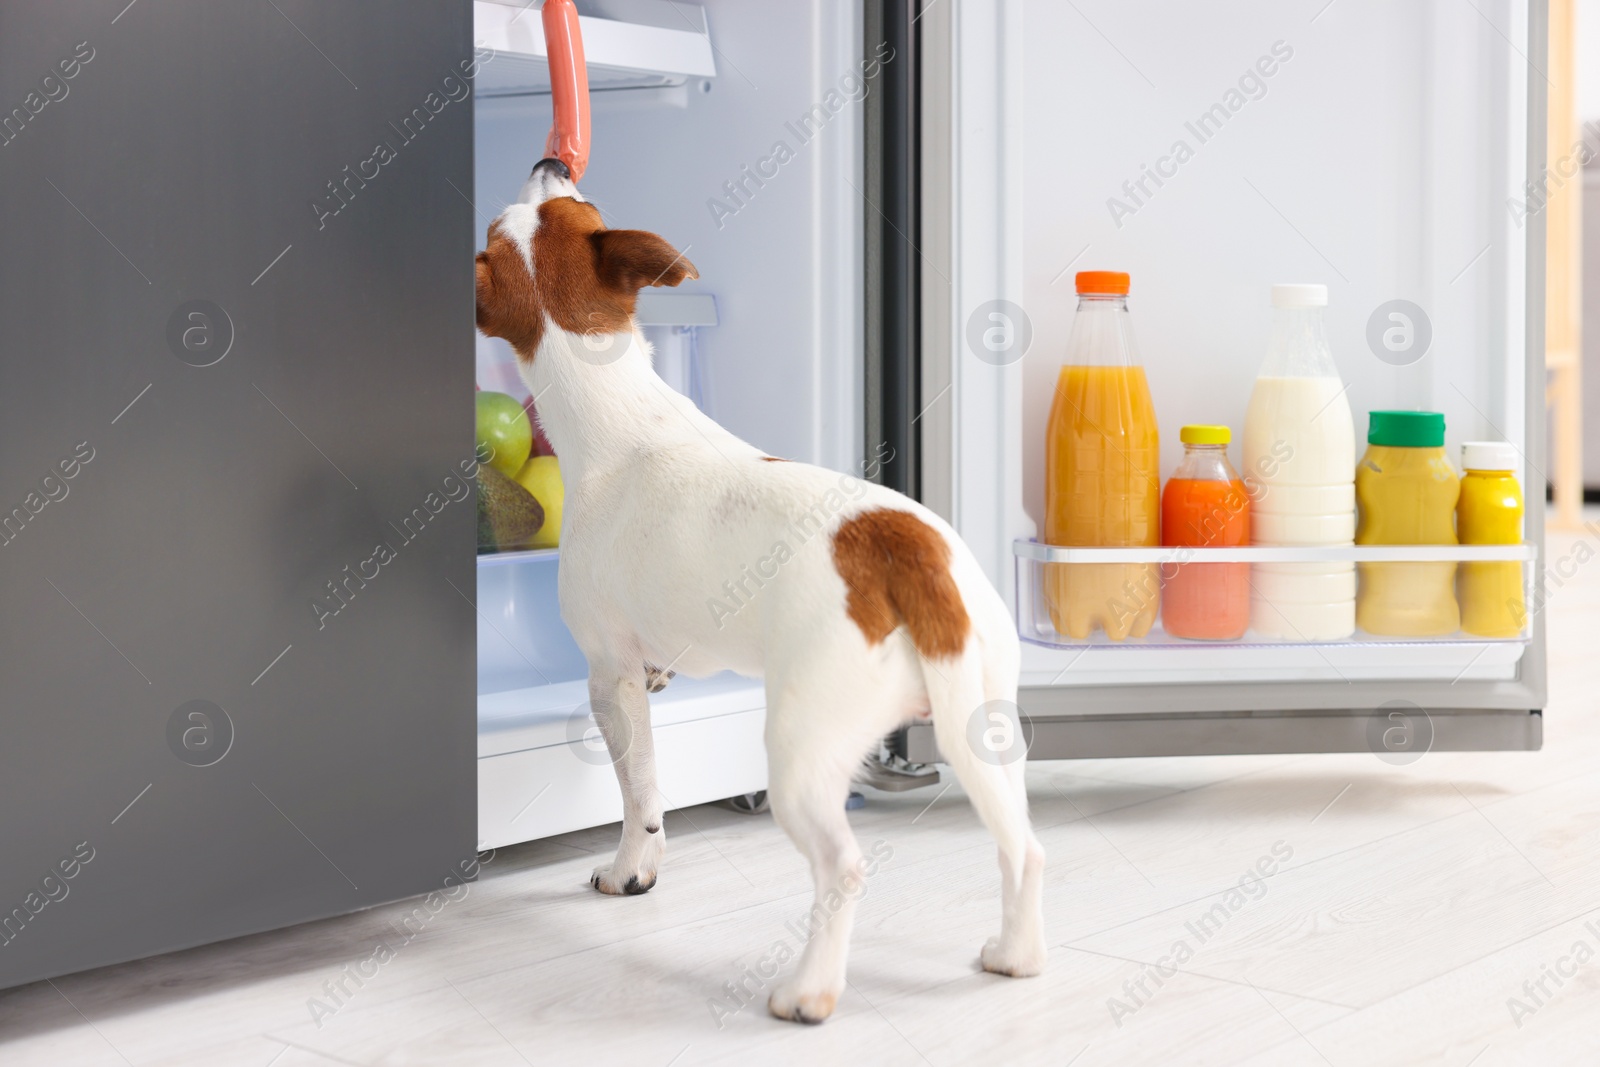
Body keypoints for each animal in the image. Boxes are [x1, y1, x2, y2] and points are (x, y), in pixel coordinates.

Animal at [473, 156, 1049, 1017]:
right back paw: (1016, 954)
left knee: (842, 867)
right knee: (1023, 846)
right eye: (577, 203)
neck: (621, 409)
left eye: (497, 226)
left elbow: (640, 794)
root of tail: (902, 546)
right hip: (985, 727)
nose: (550, 160)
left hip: (803, 753)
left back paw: (808, 991)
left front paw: (630, 869)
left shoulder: (610, 677)